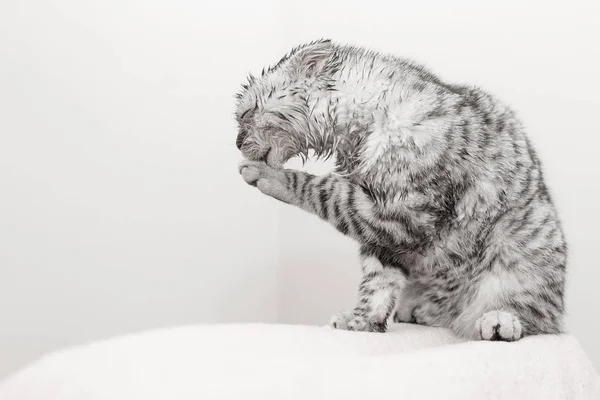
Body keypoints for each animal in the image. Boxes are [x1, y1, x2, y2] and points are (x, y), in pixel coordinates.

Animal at [234, 39, 568, 340]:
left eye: (246, 114)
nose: (237, 142)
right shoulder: (383, 237)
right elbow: (377, 282)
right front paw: (362, 321)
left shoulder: (402, 212)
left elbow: (322, 190)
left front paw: (268, 175)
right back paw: (420, 311)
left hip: (524, 252)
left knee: (535, 315)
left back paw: (499, 321)